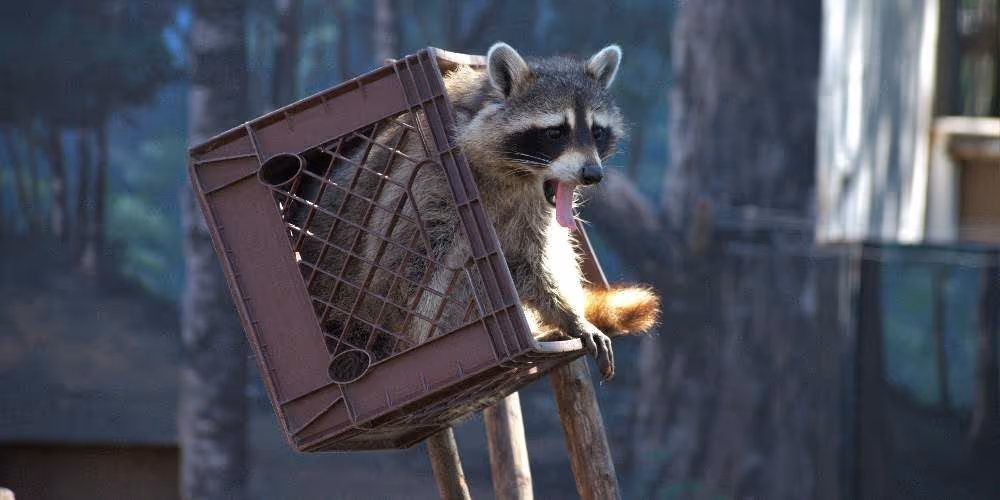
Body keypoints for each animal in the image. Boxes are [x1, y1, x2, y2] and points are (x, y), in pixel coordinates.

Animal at [291, 42, 659, 381]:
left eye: (596, 131)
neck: (519, 177)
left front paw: (569, 315)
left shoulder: (533, 210)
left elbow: (534, 261)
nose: (592, 174)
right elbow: (402, 270)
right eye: (555, 132)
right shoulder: (426, 178)